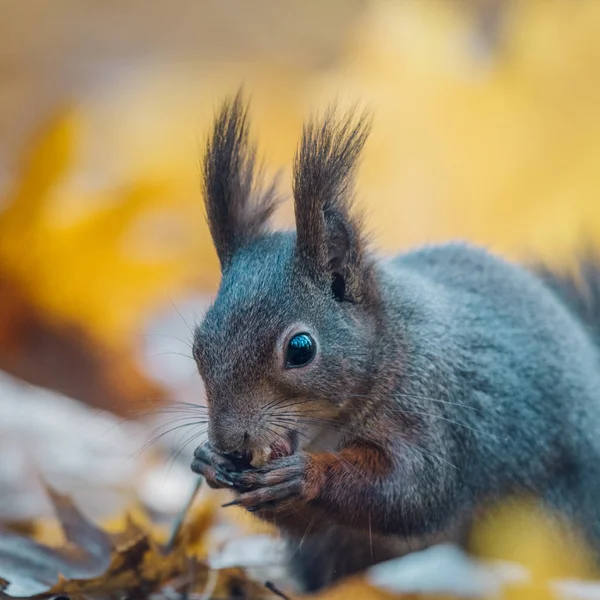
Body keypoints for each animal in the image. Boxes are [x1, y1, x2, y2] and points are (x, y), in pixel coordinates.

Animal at [190, 90, 600, 592]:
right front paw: (207, 460)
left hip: (544, 528)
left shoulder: (432, 409)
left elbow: (413, 491)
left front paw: (309, 474)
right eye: (199, 344)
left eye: (300, 349)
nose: (230, 443)